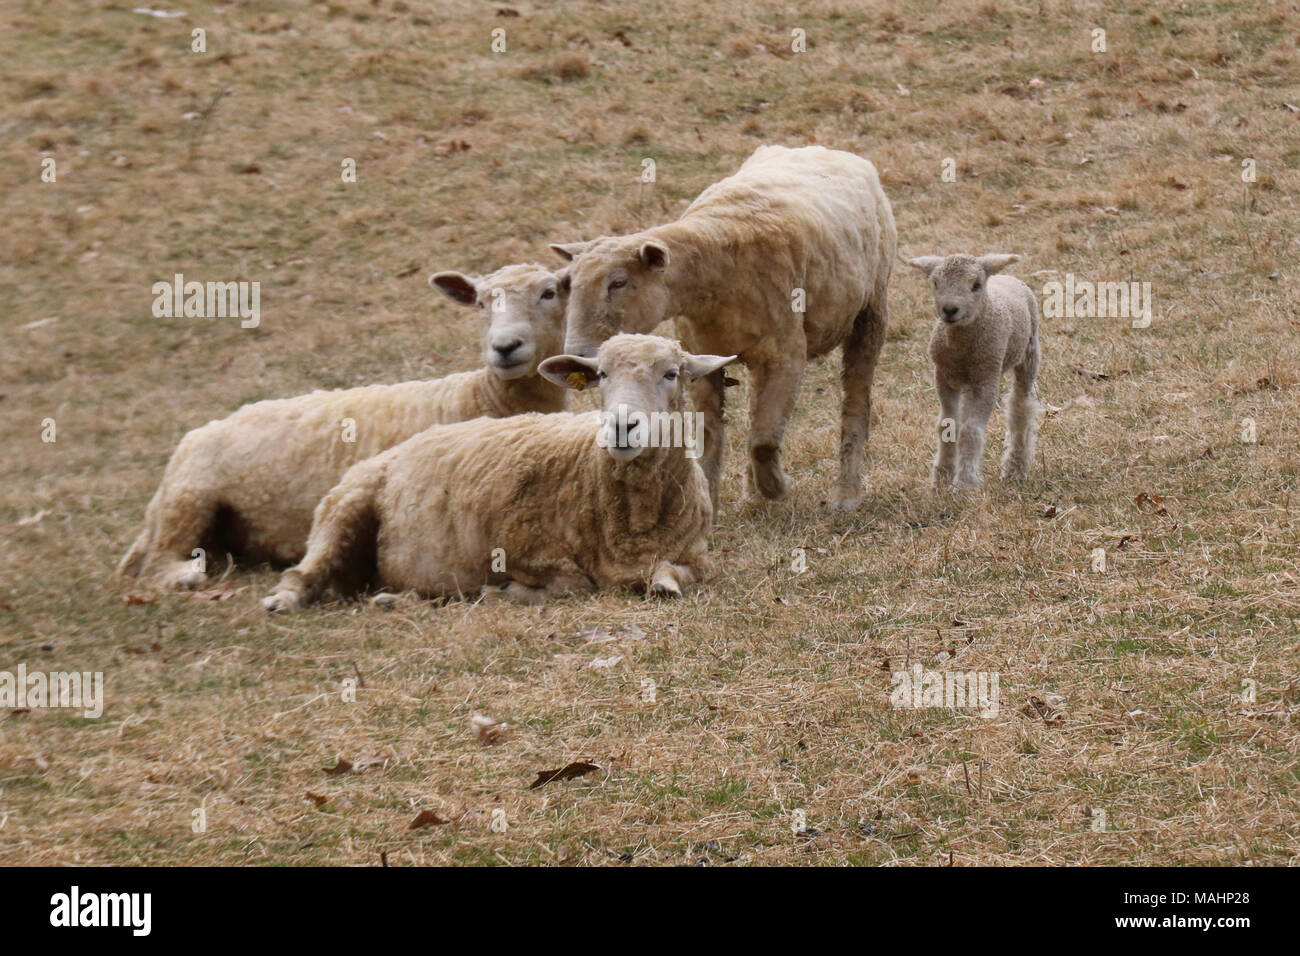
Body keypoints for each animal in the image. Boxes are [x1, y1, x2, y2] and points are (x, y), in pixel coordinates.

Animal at [115, 264, 569, 590]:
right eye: (479, 303)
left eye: (549, 293)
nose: (505, 348)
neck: (480, 397)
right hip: (189, 496)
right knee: (155, 564)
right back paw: (184, 576)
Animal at [258, 332, 738, 613]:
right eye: (601, 374)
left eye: (672, 374)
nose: (621, 426)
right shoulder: (523, 551)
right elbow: (572, 584)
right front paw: (502, 592)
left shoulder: (698, 556)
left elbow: (681, 574)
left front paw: (662, 581)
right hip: (343, 506)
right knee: (303, 571)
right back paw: (284, 599)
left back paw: (397, 599)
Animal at [546, 143, 894, 512]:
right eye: (568, 283)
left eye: (618, 282)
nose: (579, 352)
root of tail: (821, 148)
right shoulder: (700, 357)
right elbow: (711, 434)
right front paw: (712, 500)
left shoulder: (787, 354)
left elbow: (764, 442)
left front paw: (778, 487)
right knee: (757, 409)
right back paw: (753, 492)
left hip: (871, 311)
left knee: (855, 402)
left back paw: (845, 494)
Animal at [909, 251, 1040, 489]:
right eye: (935, 283)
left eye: (976, 285)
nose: (950, 310)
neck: (963, 350)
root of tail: (1003, 276)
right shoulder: (943, 377)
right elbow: (948, 425)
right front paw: (942, 477)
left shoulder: (986, 380)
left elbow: (971, 430)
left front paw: (965, 482)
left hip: (1029, 352)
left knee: (1021, 407)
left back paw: (1015, 467)